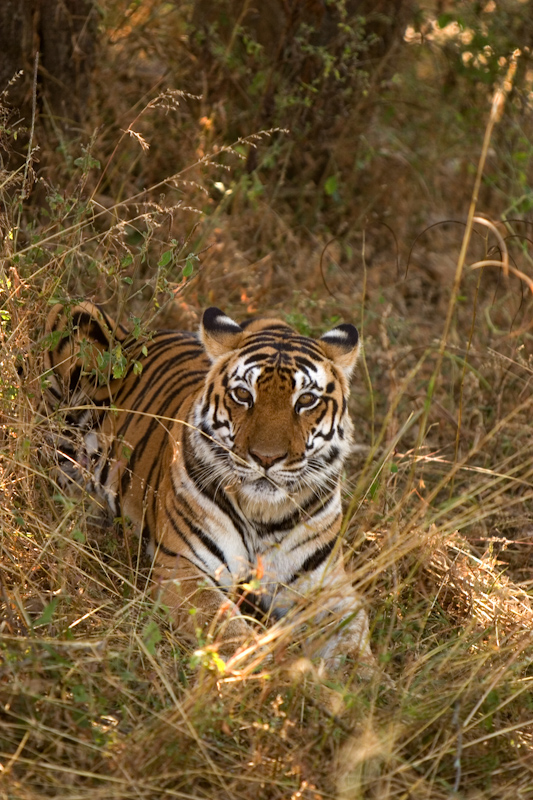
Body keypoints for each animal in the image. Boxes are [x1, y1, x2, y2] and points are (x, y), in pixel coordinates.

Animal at [43, 300, 372, 668]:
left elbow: (353, 638)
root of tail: (132, 336)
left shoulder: (326, 587)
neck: (263, 513)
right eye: (243, 395)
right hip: (74, 322)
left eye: (305, 401)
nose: (266, 458)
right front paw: (260, 672)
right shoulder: (182, 569)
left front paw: (358, 680)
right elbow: (227, 627)